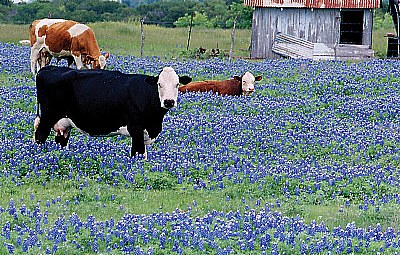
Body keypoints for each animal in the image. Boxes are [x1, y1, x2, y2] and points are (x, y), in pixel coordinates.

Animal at [33, 65, 191, 157]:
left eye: (177, 84)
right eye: (159, 84)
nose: (169, 101)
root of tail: (48, 68)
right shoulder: (136, 129)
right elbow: (137, 154)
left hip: (63, 123)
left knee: (61, 141)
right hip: (47, 117)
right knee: (40, 136)